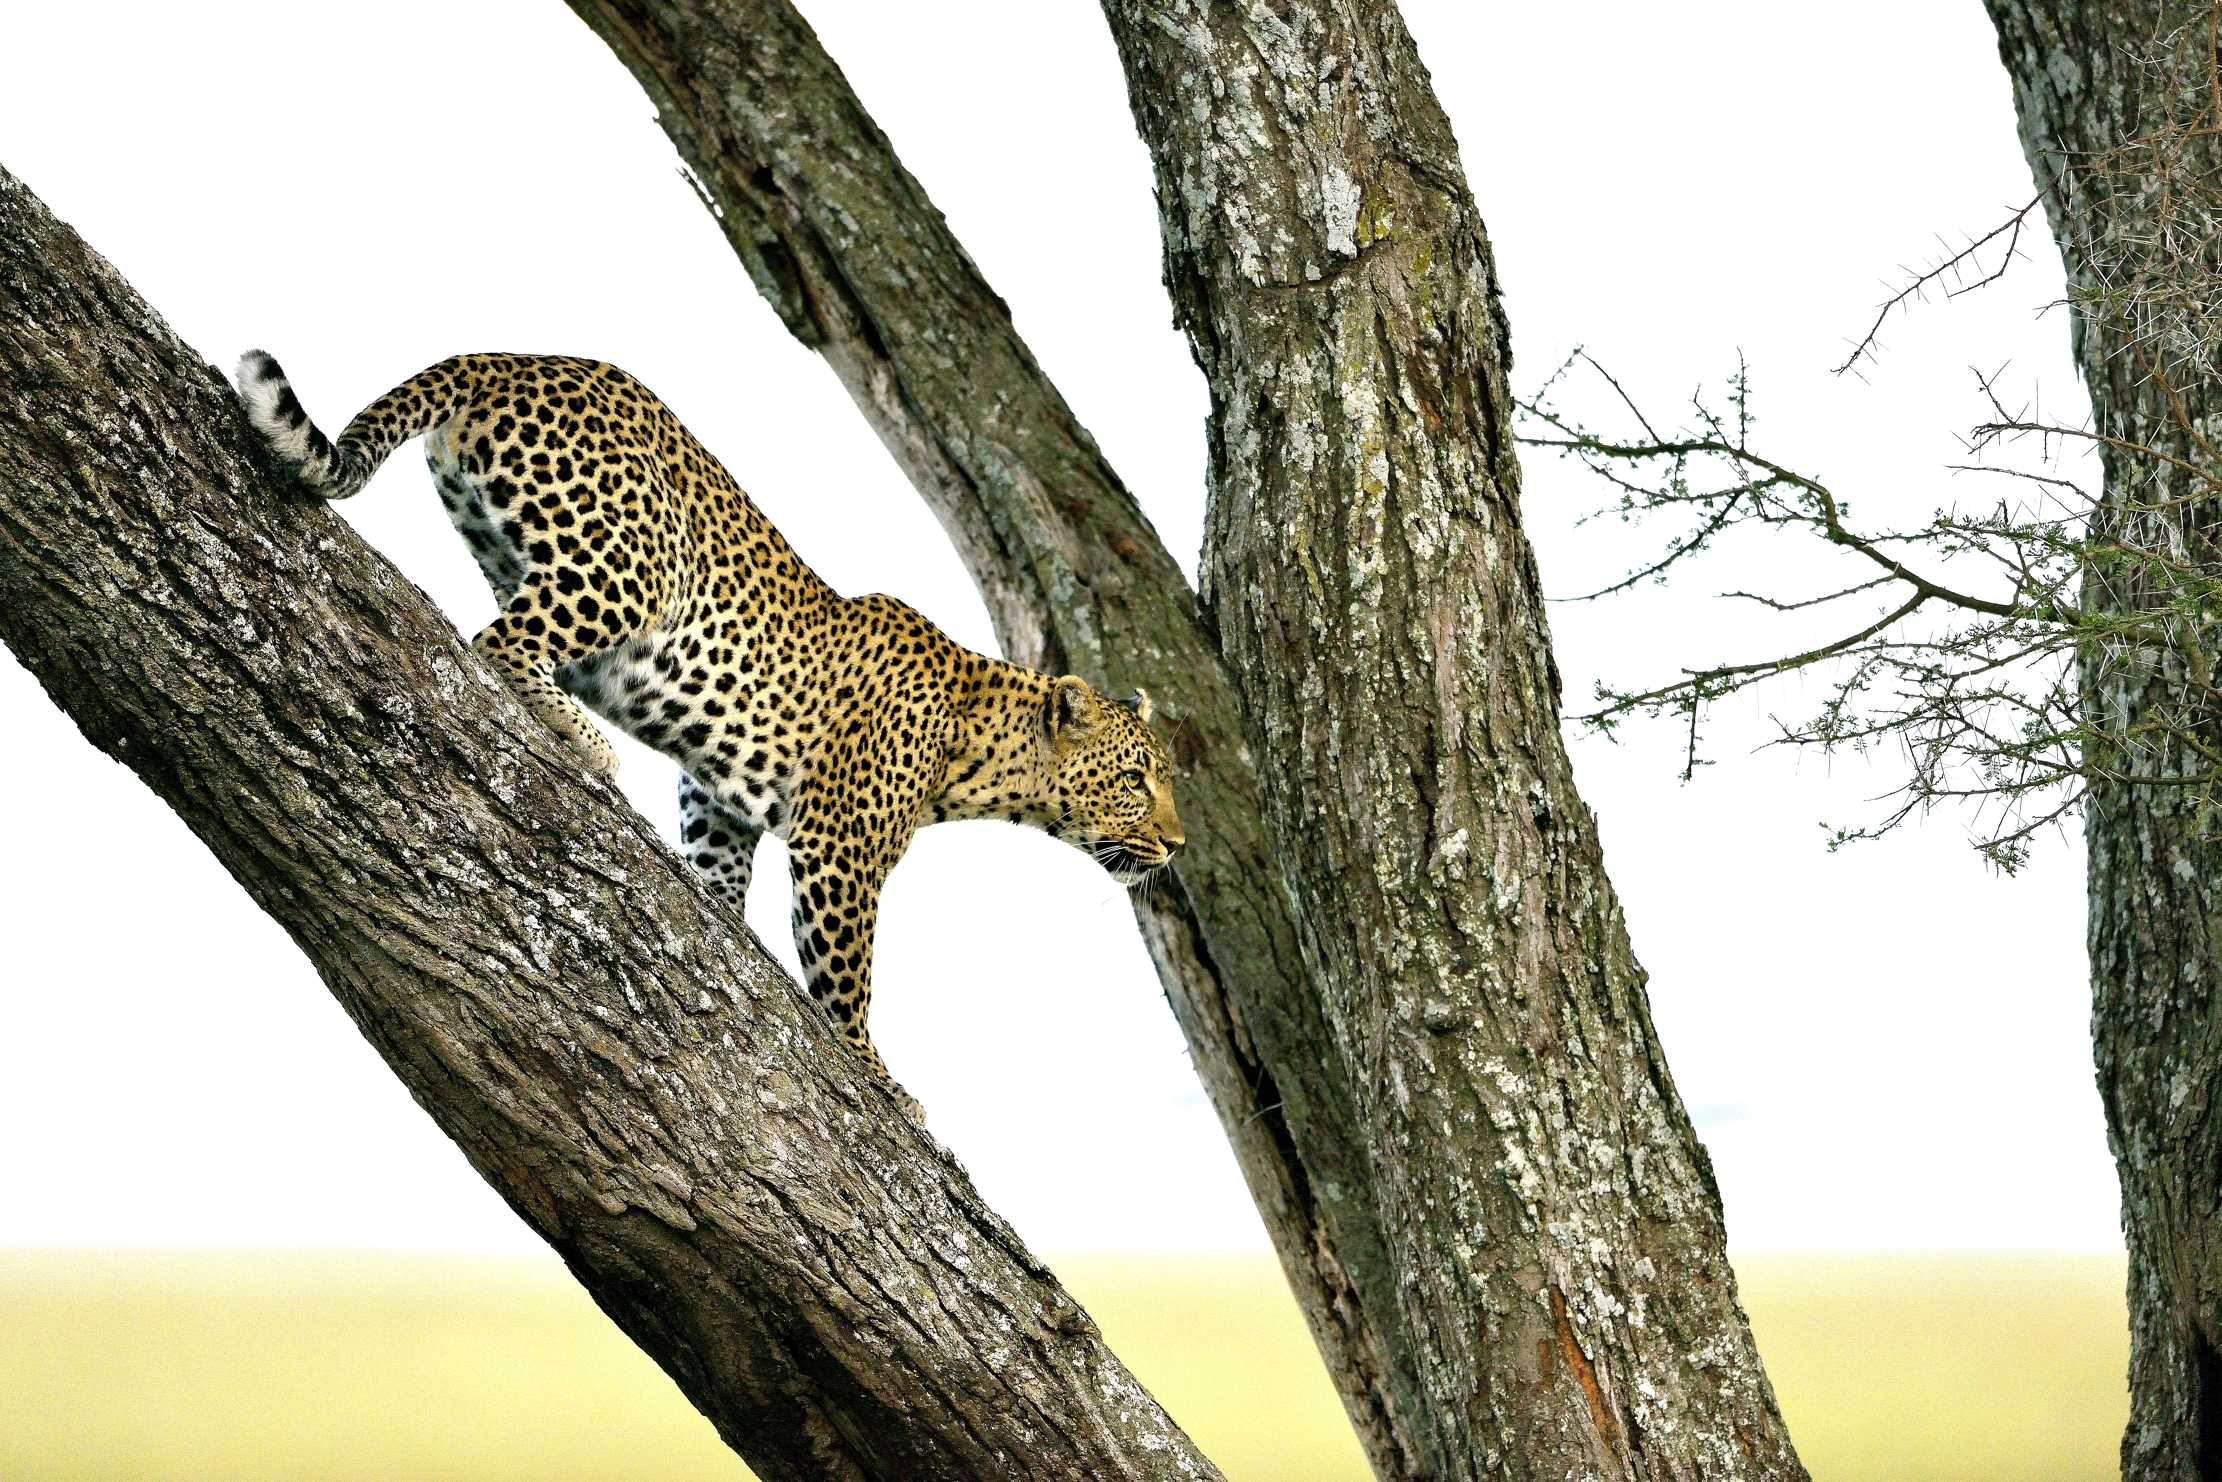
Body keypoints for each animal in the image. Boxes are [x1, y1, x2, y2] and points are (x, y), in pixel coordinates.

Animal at [236, 350, 1185, 1120]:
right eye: (1137, 779)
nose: (1177, 844)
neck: (980, 748)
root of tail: (511, 354)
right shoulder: (840, 849)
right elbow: (847, 977)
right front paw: (880, 1079)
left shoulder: (721, 798)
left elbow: (721, 873)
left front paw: (722, 926)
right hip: (629, 566)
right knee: (496, 643)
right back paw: (587, 741)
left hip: (513, 545)